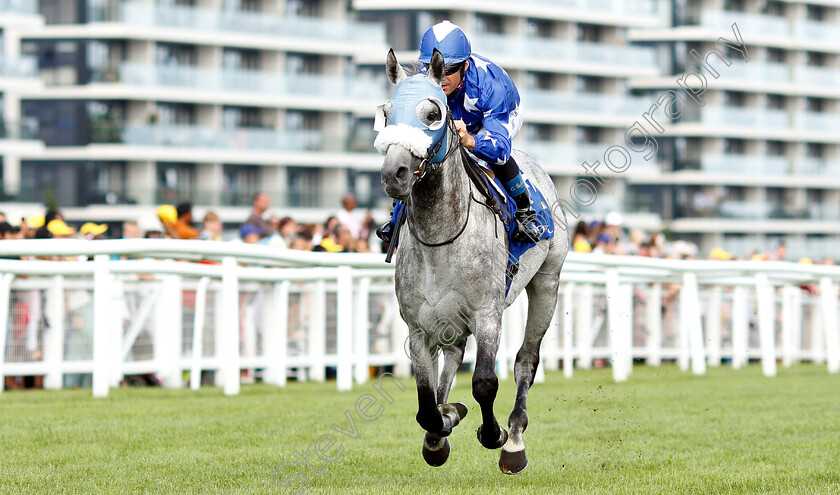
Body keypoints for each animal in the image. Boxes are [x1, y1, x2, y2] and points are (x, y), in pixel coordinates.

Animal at [378, 50, 572, 476]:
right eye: (385, 113)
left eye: (433, 113)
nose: (394, 173)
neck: (441, 236)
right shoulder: (418, 326)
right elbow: (426, 404)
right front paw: (441, 429)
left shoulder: (487, 313)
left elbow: (484, 382)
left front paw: (493, 434)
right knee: (452, 359)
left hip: (547, 281)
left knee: (526, 362)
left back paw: (514, 440)